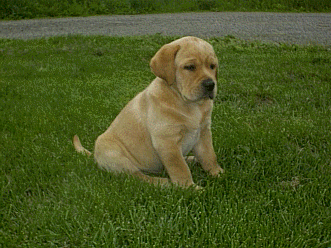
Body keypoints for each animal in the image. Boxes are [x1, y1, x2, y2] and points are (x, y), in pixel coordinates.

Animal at [74, 36, 226, 188]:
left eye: (212, 66)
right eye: (190, 67)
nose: (210, 84)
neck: (190, 104)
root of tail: (94, 156)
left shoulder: (204, 132)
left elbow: (209, 156)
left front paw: (218, 174)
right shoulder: (166, 141)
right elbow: (179, 168)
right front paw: (190, 187)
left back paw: (191, 159)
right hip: (115, 154)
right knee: (138, 176)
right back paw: (163, 182)